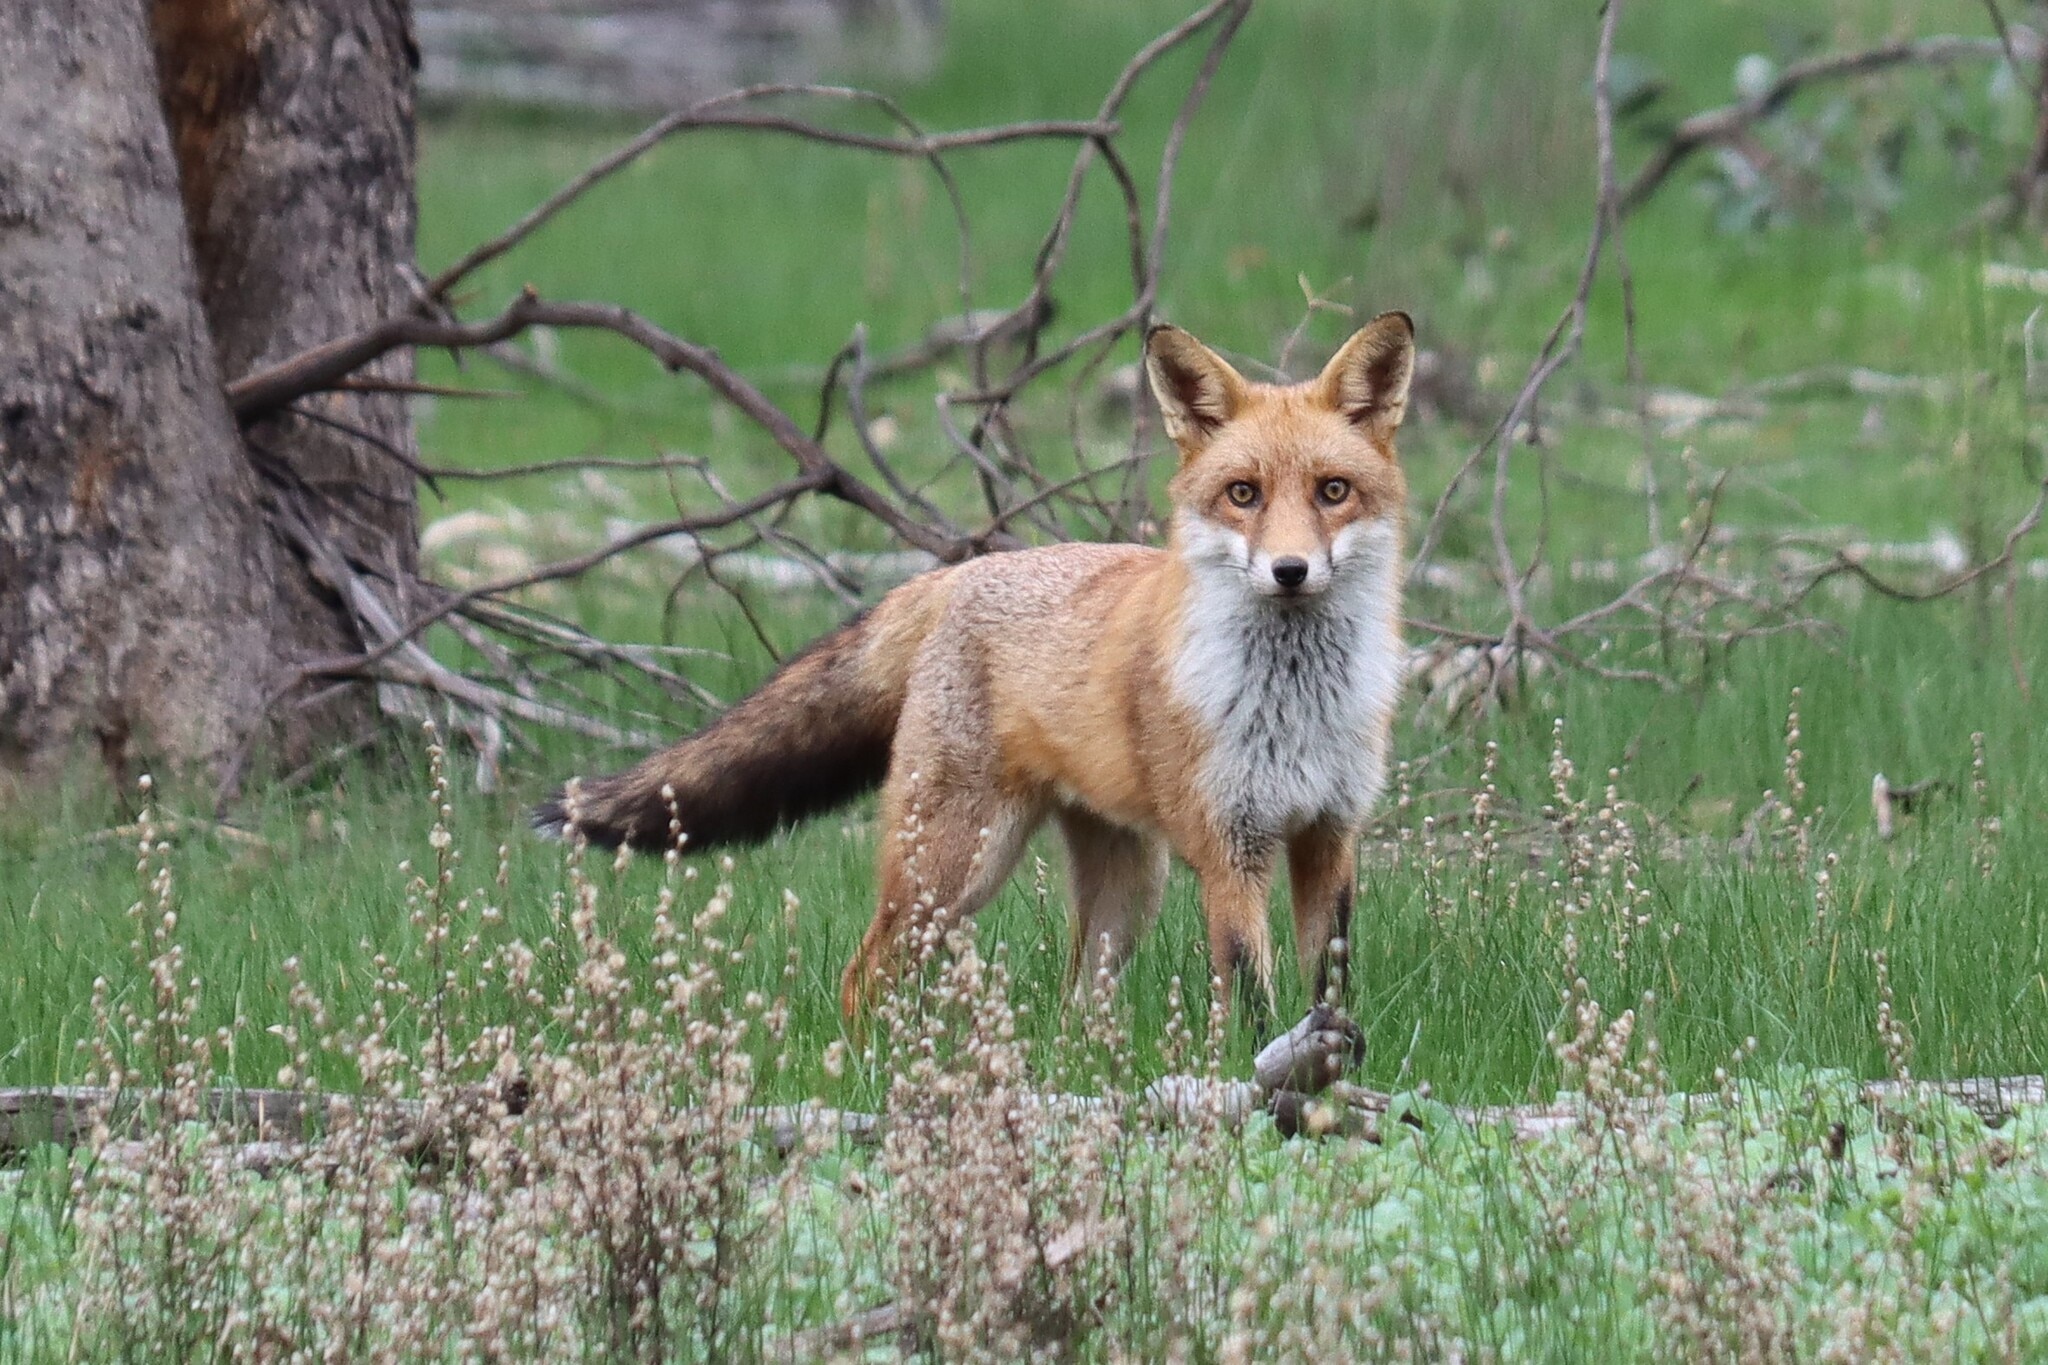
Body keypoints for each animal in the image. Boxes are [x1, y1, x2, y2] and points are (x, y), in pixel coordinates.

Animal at [535, 312, 1415, 1024]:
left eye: (1333, 490)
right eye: (1243, 494)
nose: (1291, 571)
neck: (1295, 704)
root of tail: (957, 572)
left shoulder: (1331, 834)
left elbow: (1329, 987)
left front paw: (1327, 1064)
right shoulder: (1232, 848)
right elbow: (1253, 996)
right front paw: (1265, 1075)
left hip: (1130, 885)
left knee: (1075, 1004)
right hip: (956, 863)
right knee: (864, 975)